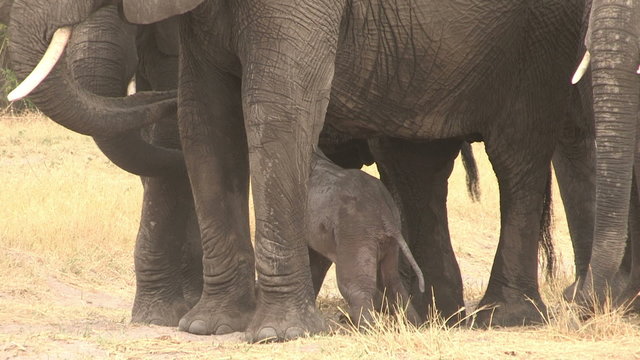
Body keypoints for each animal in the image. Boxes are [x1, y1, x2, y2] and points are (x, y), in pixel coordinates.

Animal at [306, 149, 424, 326]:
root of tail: (385, 214)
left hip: (356, 231)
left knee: (353, 286)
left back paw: (364, 326)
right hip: (386, 240)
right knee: (392, 280)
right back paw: (416, 325)